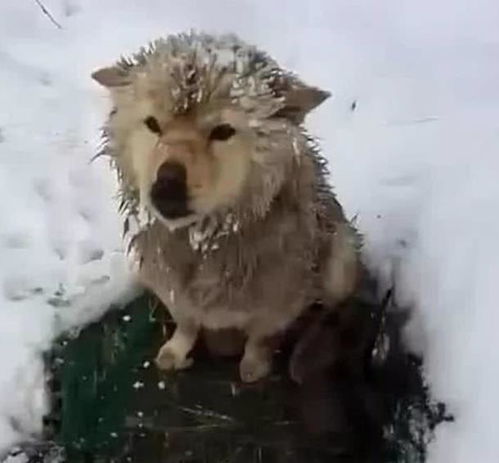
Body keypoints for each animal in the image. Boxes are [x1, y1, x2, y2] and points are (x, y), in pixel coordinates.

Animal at [93, 32, 360, 384]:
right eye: (152, 124)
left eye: (222, 132)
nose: (166, 187)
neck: (204, 242)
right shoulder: (169, 283)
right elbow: (187, 323)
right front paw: (176, 350)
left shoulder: (281, 299)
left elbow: (261, 337)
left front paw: (254, 365)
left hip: (339, 257)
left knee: (331, 307)